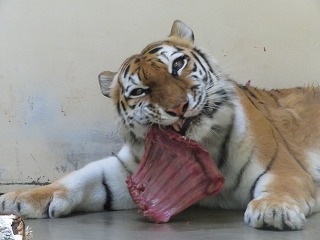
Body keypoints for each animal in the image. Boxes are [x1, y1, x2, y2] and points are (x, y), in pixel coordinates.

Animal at [0, 19, 320, 230]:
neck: (204, 144)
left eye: (177, 65)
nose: (178, 107)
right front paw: (17, 199)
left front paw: (274, 210)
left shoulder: (283, 168)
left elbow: (281, 186)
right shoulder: (129, 168)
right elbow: (78, 177)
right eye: (140, 91)